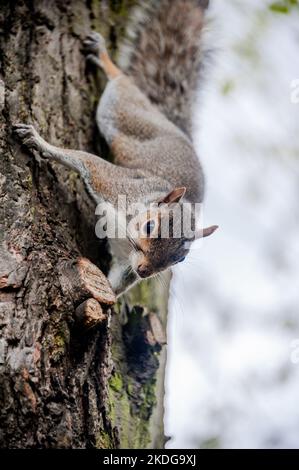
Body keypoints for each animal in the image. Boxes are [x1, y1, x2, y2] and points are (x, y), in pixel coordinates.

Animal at [12, 0, 218, 296]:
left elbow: (114, 286)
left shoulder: (125, 265)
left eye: (181, 258)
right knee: (121, 81)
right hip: (121, 111)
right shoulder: (116, 185)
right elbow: (85, 161)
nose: (145, 271)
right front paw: (38, 141)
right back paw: (104, 57)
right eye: (150, 225)